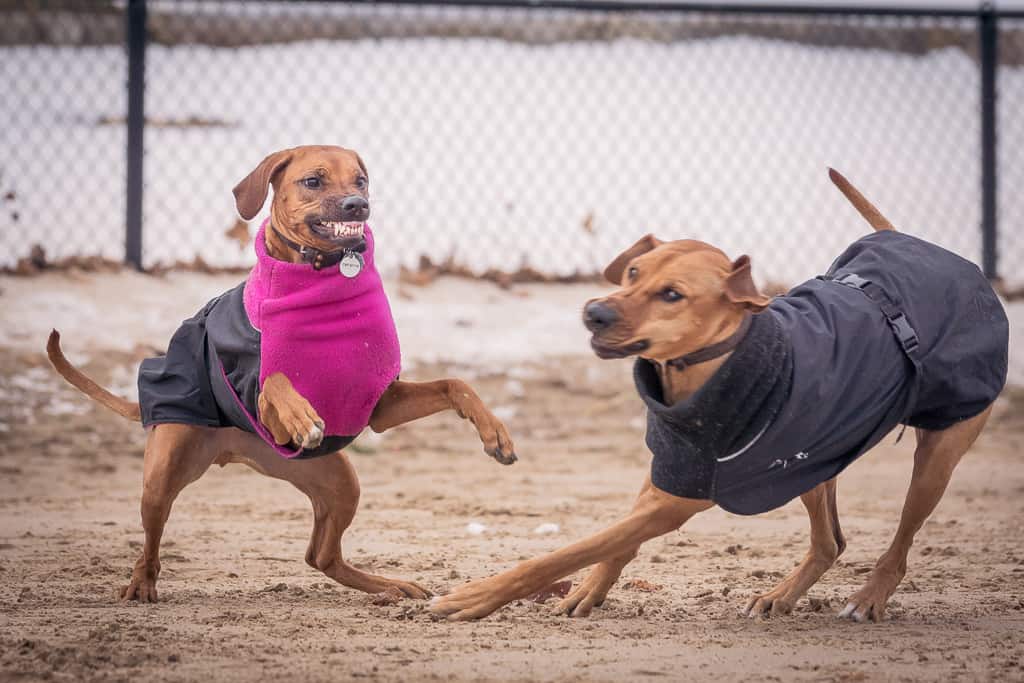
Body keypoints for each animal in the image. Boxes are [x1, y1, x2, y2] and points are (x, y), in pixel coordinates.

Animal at [46, 145, 520, 602]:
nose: (357, 205)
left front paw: (495, 433)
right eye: (313, 181)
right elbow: (274, 380)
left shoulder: (381, 403)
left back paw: (390, 587)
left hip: (337, 479)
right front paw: (301, 416)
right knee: (151, 541)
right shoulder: (262, 404)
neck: (321, 276)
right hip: (164, 470)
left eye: (360, 180)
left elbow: (456, 384)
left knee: (321, 556)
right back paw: (141, 584)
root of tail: (231, 446)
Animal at [432, 171, 1007, 626]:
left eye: (672, 295)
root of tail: (928, 249)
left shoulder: (682, 497)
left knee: (903, 538)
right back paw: (781, 596)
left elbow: (569, 551)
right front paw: (591, 590)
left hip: (938, 450)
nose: (596, 312)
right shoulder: (672, 464)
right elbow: (616, 542)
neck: (699, 375)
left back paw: (870, 597)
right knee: (830, 542)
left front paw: (477, 597)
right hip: (813, 461)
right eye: (634, 272)